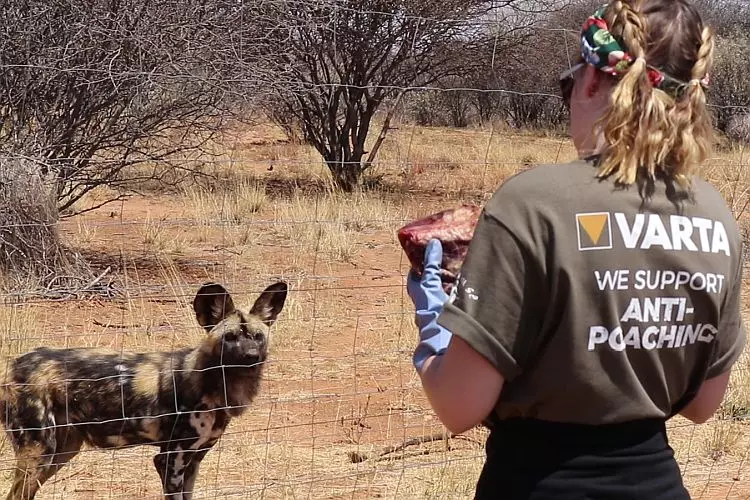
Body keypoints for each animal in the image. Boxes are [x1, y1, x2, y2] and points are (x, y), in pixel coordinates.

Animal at [0, 282, 290, 500]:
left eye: (257, 337)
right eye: (229, 338)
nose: (251, 356)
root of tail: (13, 364)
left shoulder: (194, 460)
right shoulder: (170, 460)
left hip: (61, 452)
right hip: (40, 453)